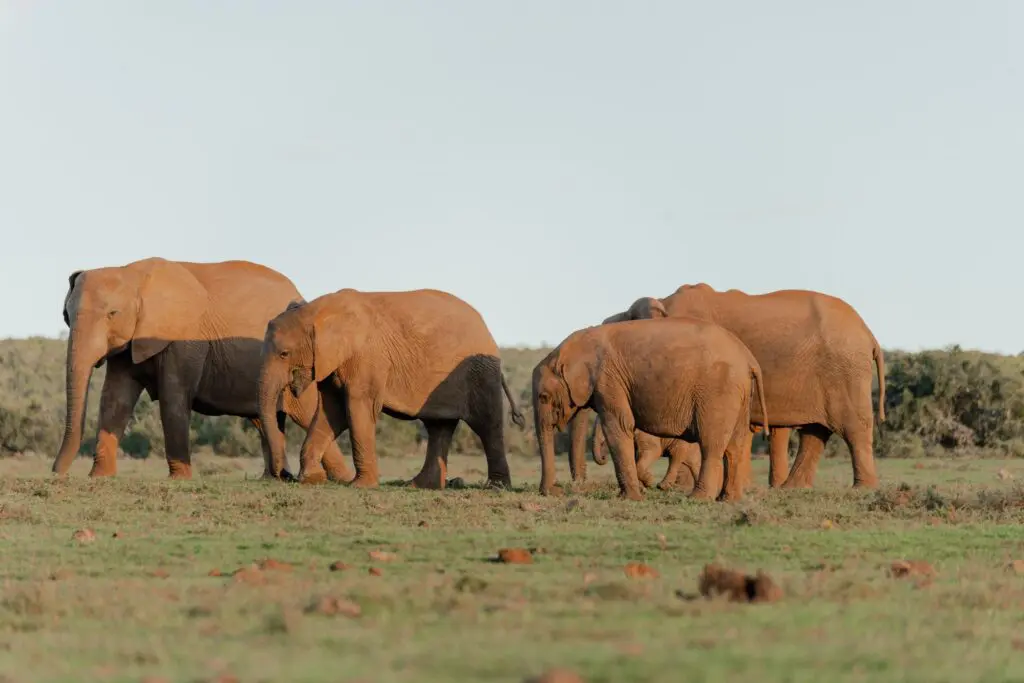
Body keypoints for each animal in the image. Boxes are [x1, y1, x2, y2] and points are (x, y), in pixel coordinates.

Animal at [52, 257, 353, 481]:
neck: (132, 273)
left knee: (307, 413)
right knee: (265, 419)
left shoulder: (184, 337)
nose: (57, 474)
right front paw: (100, 477)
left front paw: (179, 479)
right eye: (66, 315)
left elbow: (173, 398)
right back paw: (276, 478)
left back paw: (337, 479)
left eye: (112, 314)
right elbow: (115, 398)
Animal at [257, 288, 526, 489]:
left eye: (284, 354)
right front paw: (312, 480)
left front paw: (361, 486)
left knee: (486, 425)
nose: (284, 476)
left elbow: (357, 408)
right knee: (438, 427)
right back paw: (419, 486)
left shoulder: (367, 357)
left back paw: (496, 487)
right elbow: (331, 412)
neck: (316, 310)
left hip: (480, 372)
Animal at [532, 317, 770, 501]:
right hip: (740, 393)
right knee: (735, 445)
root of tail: (749, 358)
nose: (554, 492)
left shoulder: (609, 380)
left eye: (543, 397)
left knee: (711, 443)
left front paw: (631, 497)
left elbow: (618, 426)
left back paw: (698, 498)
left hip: (718, 392)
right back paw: (727, 500)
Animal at [605, 283, 886, 489]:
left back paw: (862, 489)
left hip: (845, 370)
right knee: (815, 431)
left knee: (853, 427)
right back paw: (790, 489)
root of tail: (869, 333)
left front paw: (682, 490)